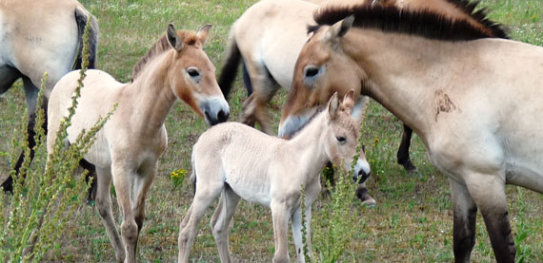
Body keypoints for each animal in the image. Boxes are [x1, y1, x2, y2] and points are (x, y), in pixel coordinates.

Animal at [46, 23, 230, 262]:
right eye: (193, 72)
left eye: (213, 70)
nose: (222, 113)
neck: (138, 117)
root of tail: (73, 74)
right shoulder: (122, 171)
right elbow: (129, 227)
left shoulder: (148, 169)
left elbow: (138, 219)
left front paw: (128, 254)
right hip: (57, 147)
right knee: (47, 189)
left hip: (103, 163)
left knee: (103, 204)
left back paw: (118, 252)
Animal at [178, 91, 370, 263]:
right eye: (341, 138)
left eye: (360, 138)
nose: (364, 172)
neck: (298, 162)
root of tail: (201, 139)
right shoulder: (279, 207)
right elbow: (281, 257)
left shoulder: (303, 208)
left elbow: (305, 253)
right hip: (208, 189)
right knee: (187, 230)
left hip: (231, 191)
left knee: (219, 227)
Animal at [284, 3, 543, 262]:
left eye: (311, 71)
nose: (286, 128)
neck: (458, 79)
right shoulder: (460, 181)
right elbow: (462, 243)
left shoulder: (486, 181)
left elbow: (503, 250)